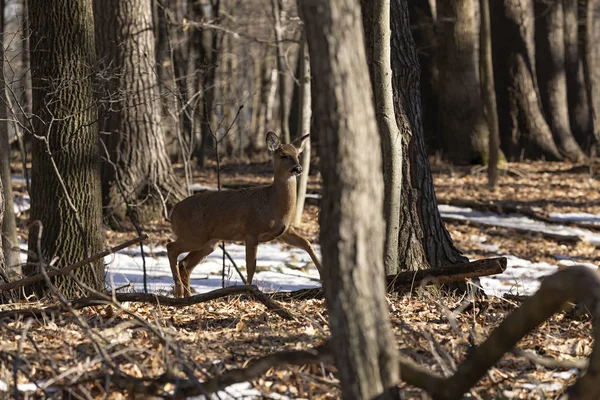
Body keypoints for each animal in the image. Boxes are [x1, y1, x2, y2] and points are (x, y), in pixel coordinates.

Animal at [166, 131, 322, 296]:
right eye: (284, 155)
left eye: (298, 155)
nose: (298, 168)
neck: (272, 204)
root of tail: (173, 211)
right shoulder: (251, 232)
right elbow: (251, 266)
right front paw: (248, 291)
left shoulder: (283, 231)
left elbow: (307, 243)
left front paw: (322, 275)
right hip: (194, 235)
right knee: (171, 248)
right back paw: (179, 291)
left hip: (209, 241)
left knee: (185, 264)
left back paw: (187, 295)